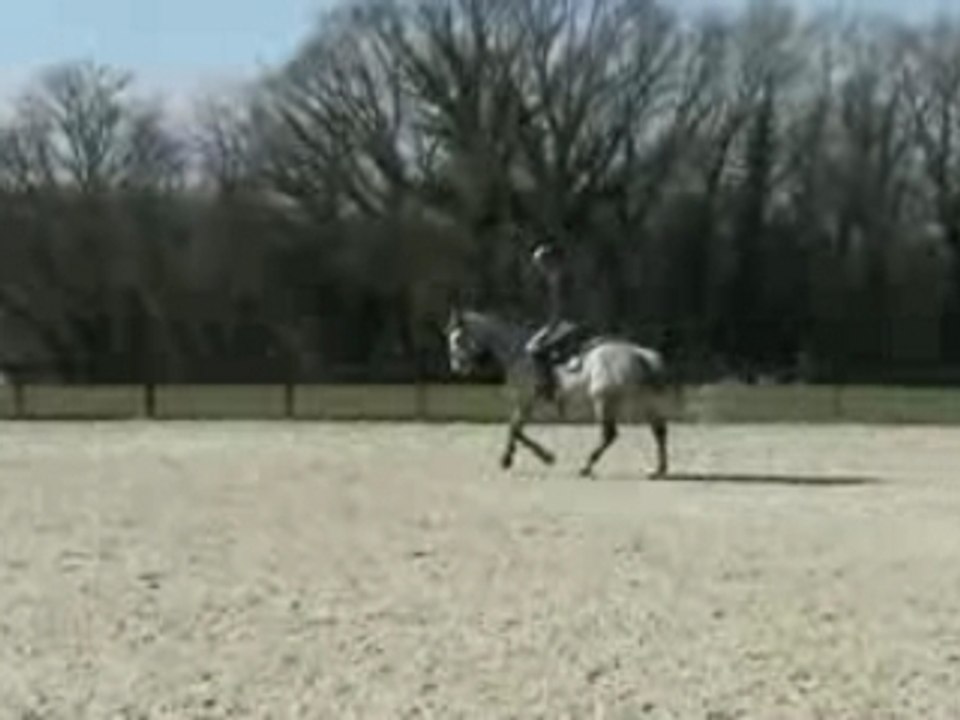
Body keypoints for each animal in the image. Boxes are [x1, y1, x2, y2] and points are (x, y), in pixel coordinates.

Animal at [444, 307, 676, 478]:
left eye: (458, 339)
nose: (456, 368)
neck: (519, 353)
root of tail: (640, 354)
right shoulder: (526, 402)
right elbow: (515, 429)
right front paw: (510, 458)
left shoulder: (525, 400)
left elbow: (515, 429)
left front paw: (538, 457)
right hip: (643, 400)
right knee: (659, 430)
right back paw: (659, 470)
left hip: (604, 401)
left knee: (609, 434)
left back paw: (586, 466)